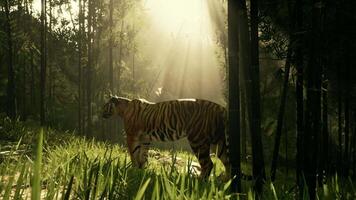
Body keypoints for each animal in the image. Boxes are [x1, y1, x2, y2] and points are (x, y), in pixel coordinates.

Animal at [102, 95, 231, 178]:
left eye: (105, 105)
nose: (101, 113)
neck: (123, 109)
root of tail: (221, 108)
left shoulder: (132, 136)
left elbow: (134, 154)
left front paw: (133, 170)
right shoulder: (145, 139)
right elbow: (143, 156)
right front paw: (142, 172)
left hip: (197, 140)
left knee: (208, 164)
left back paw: (198, 181)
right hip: (218, 142)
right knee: (228, 162)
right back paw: (226, 182)